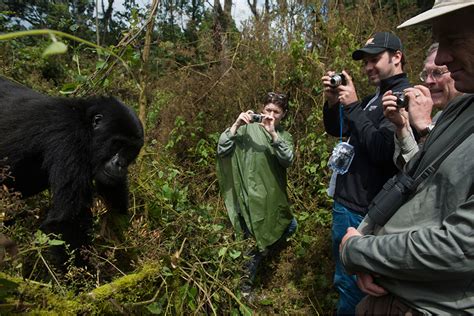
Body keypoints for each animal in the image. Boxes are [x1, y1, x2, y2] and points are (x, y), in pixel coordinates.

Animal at [0, 76, 144, 266]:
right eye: (118, 144)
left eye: (131, 150)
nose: (120, 164)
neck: (84, 122)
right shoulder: (71, 138)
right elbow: (66, 221)